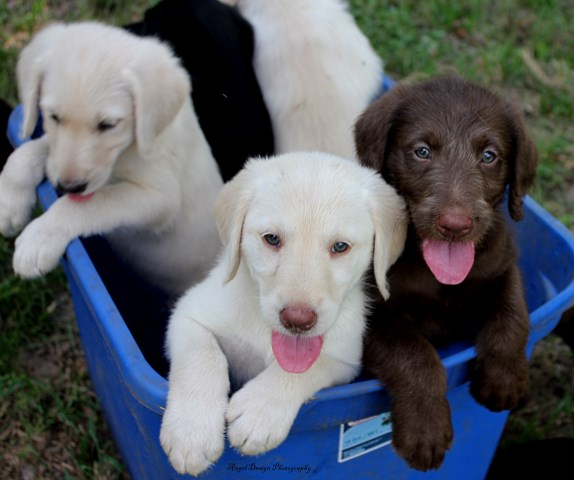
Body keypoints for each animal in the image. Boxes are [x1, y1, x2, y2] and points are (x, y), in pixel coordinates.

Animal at [0, 22, 224, 294]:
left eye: (107, 125)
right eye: (53, 117)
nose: (68, 187)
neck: (124, 152)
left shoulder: (161, 199)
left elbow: (92, 202)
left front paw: (39, 238)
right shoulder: (57, 153)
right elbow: (29, 151)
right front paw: (9, 203)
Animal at [160, 151, 408, 476]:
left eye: (341, 246)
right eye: (272, 239)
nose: (297, 321)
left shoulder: (346, 360)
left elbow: (307, 367)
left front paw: (259, 412)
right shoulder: (188, 313)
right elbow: (202, 357)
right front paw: (191, 432)